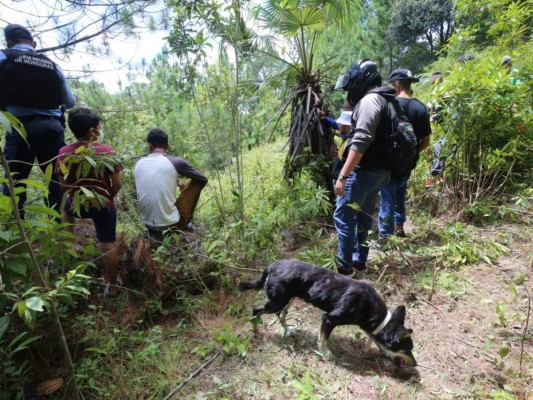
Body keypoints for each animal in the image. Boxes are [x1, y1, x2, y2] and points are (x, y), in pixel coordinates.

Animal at [237, 260, 416, 368]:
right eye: (407, 350)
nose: (415, 364)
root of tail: (272, 266)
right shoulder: (329, 319)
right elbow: (323, 339)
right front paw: (324, 353)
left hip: (287, 300)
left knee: (280, 315)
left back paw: (286, 330)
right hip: (277, 302)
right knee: (255, 310)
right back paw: (256, 332)